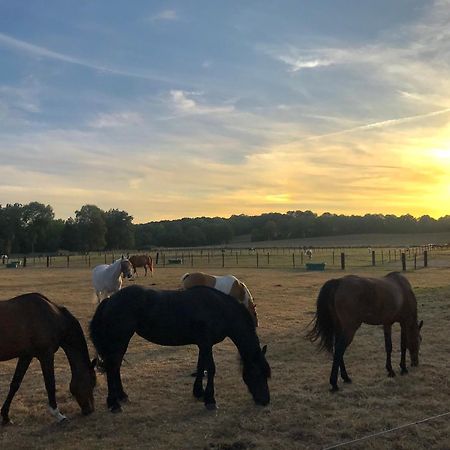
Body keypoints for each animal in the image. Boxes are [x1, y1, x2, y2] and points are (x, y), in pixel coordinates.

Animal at [0, 294, 96, 424]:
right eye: (92, 382)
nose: (90, 410)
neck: (54, 318)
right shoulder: (46, 355)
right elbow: (50, 384)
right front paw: (58, 415)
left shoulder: (26, 356)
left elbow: (15, 384)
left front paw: (5, 416)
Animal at [89, 286, 268, 414]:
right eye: (257, 373)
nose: (265, 401)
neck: (218, 309)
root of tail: (110, 300)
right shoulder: (206, 343)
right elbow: (211, 368)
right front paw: (210, 400)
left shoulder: (203, 344)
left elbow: (201, 366)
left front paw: (199, 392)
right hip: (119, 340)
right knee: (112, 367)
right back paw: (114, 404)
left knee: (115, 367)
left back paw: (122, 396)